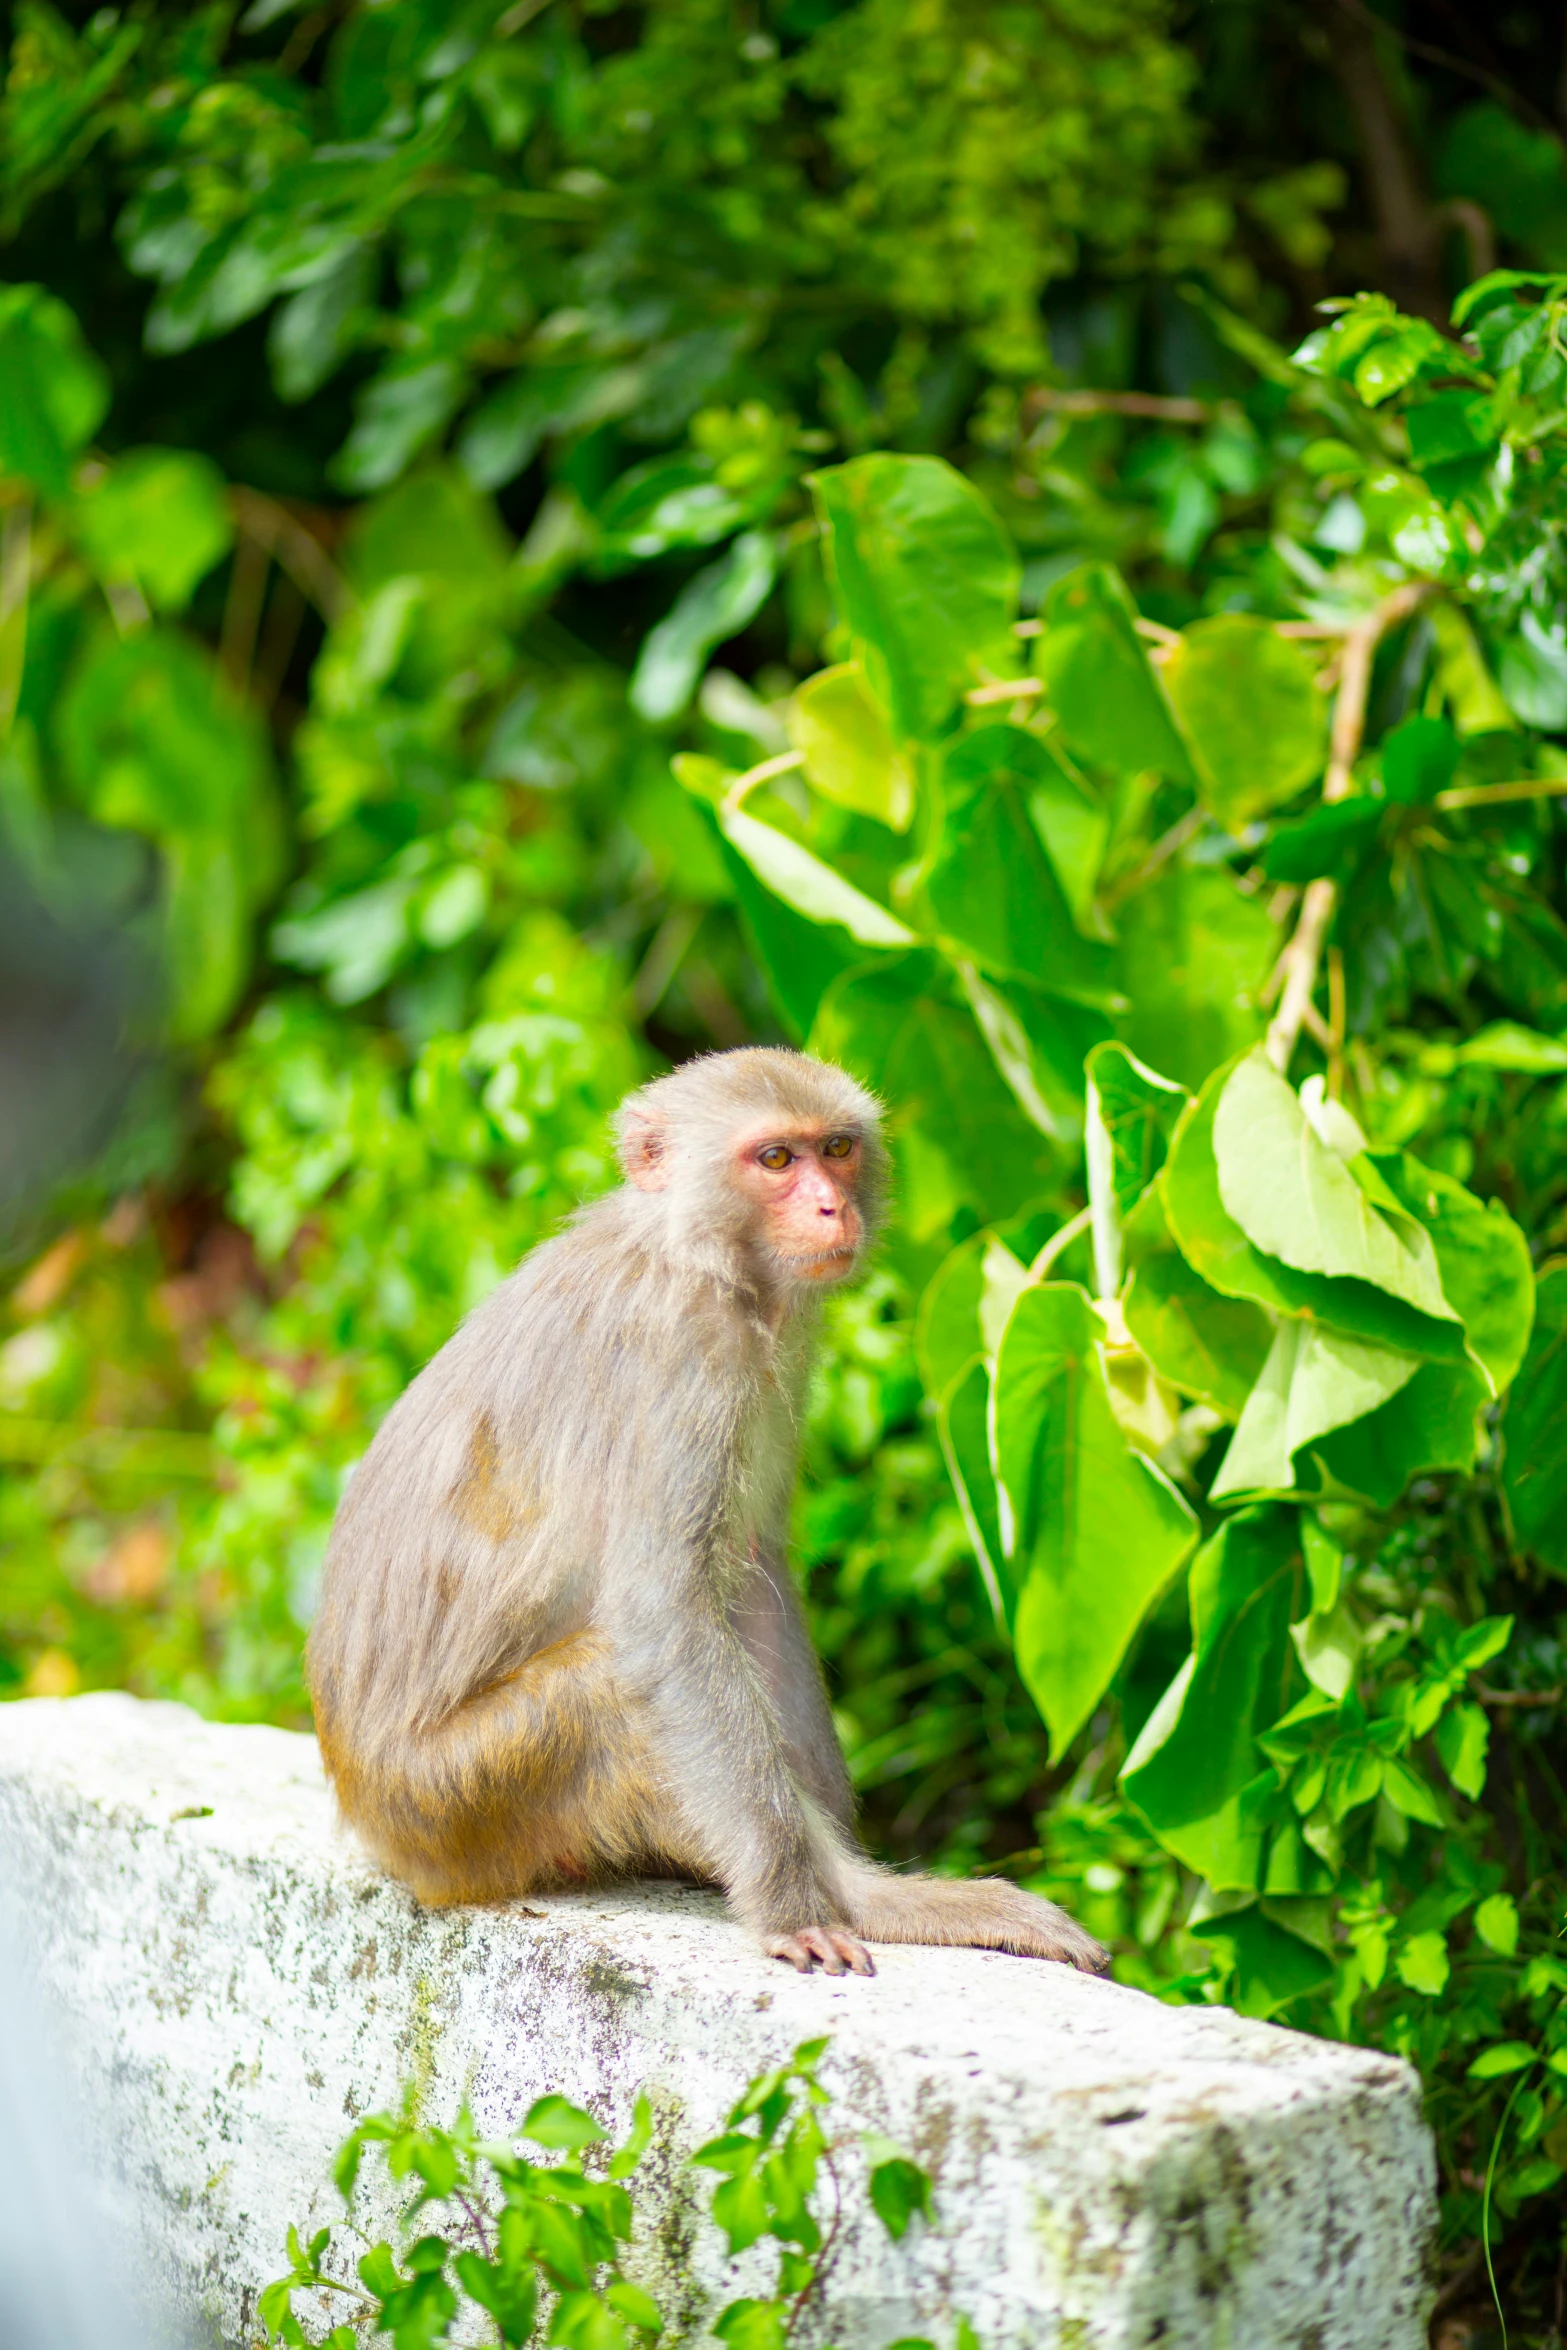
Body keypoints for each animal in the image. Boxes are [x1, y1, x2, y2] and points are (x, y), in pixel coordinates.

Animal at [312, 1052, 1108, 1983]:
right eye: (775, 1160)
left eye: (836, 1149)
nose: (832, 1206)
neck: (697, 1255)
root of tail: (370, 1821)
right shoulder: (686, 1358)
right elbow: (667, 1610)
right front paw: (798, 1904)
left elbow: (756, 1572)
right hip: (458, 1802)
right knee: (613, 1688)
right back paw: (869, 1900)